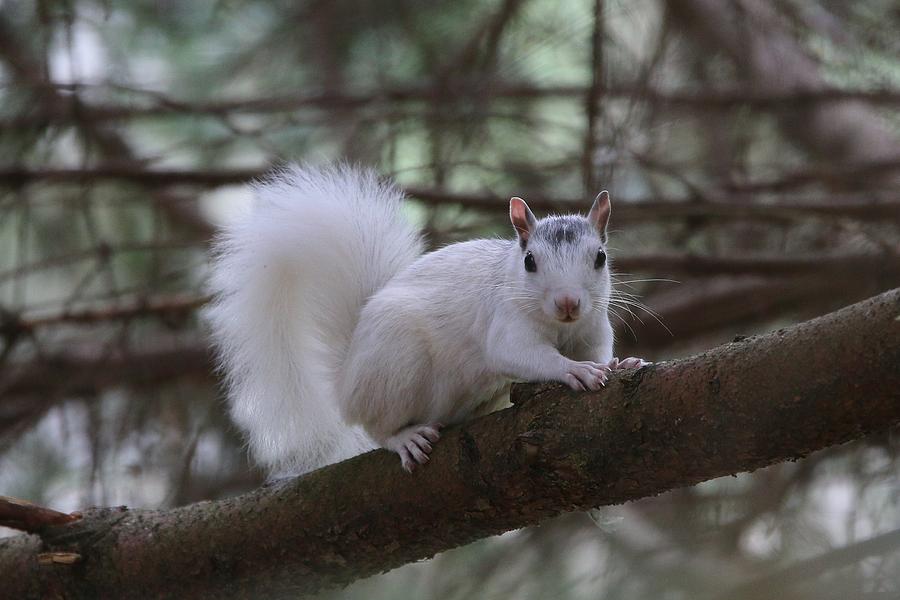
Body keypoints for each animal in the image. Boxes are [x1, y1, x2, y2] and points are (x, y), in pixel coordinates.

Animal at [209, 164, 648, 478]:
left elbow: (597, 351)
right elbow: (521, 354)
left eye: (600, 257)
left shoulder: (592, 329)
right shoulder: (505, 325)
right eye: (530, 262)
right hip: (398, 361)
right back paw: (404, 438)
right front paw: (574, 371)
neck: (563, 327)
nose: (568, 302)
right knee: (375, 426)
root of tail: (347, 376)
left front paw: (618, 363)